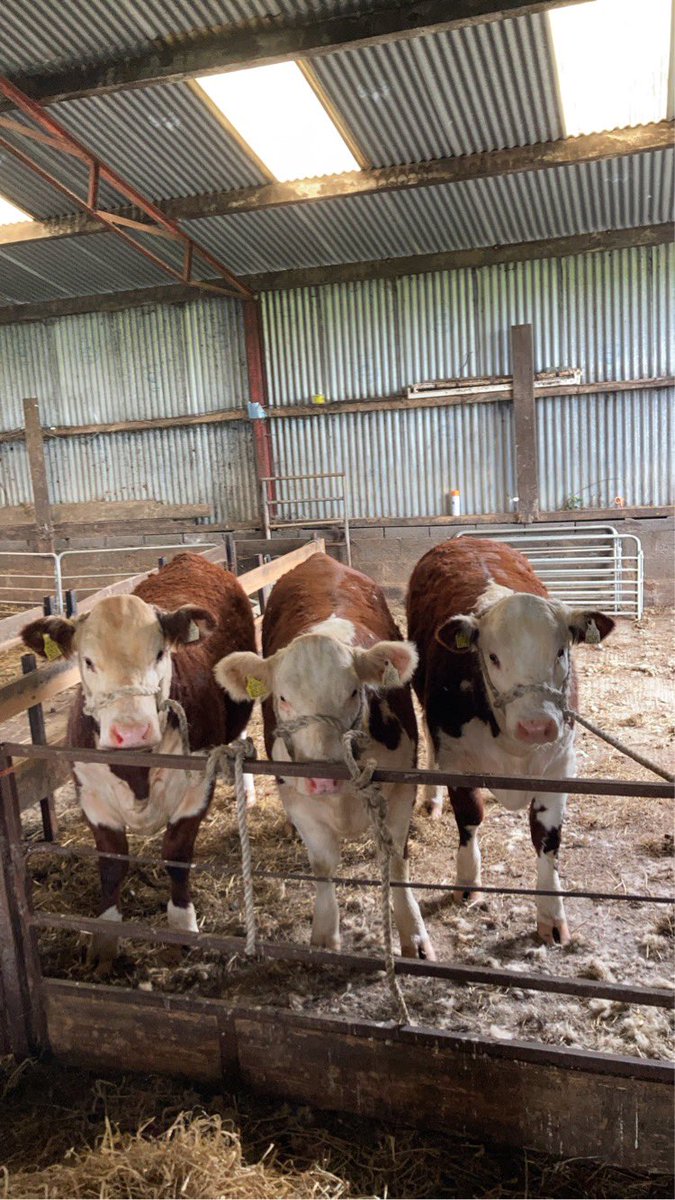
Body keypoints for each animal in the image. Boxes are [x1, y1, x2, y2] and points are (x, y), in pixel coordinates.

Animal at [22, 552, 255, 964]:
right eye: (87, 661)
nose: (131, 731)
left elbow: (176, 854)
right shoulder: (91, 793)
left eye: (160, 653)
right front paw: (105, 939)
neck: (137, 770)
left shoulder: (197, 788)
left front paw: (183, 926)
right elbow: (113, 864)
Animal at [214, 552, 435, 960]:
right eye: (282, 697)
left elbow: (396, 861)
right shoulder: (297, 796)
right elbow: (322, 864)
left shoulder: (401, 790)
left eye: (353, 692)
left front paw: (413, 934)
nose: (323, 777)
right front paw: (323, 934)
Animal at [407, 537, 615, 946]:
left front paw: (551, 916)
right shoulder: (457, 760)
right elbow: (470, 818)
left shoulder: (559, 764)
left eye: (561, 651)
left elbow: (546, 837)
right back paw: (431, 800)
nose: (537, 726)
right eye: (492, 656)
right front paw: (468, 884)